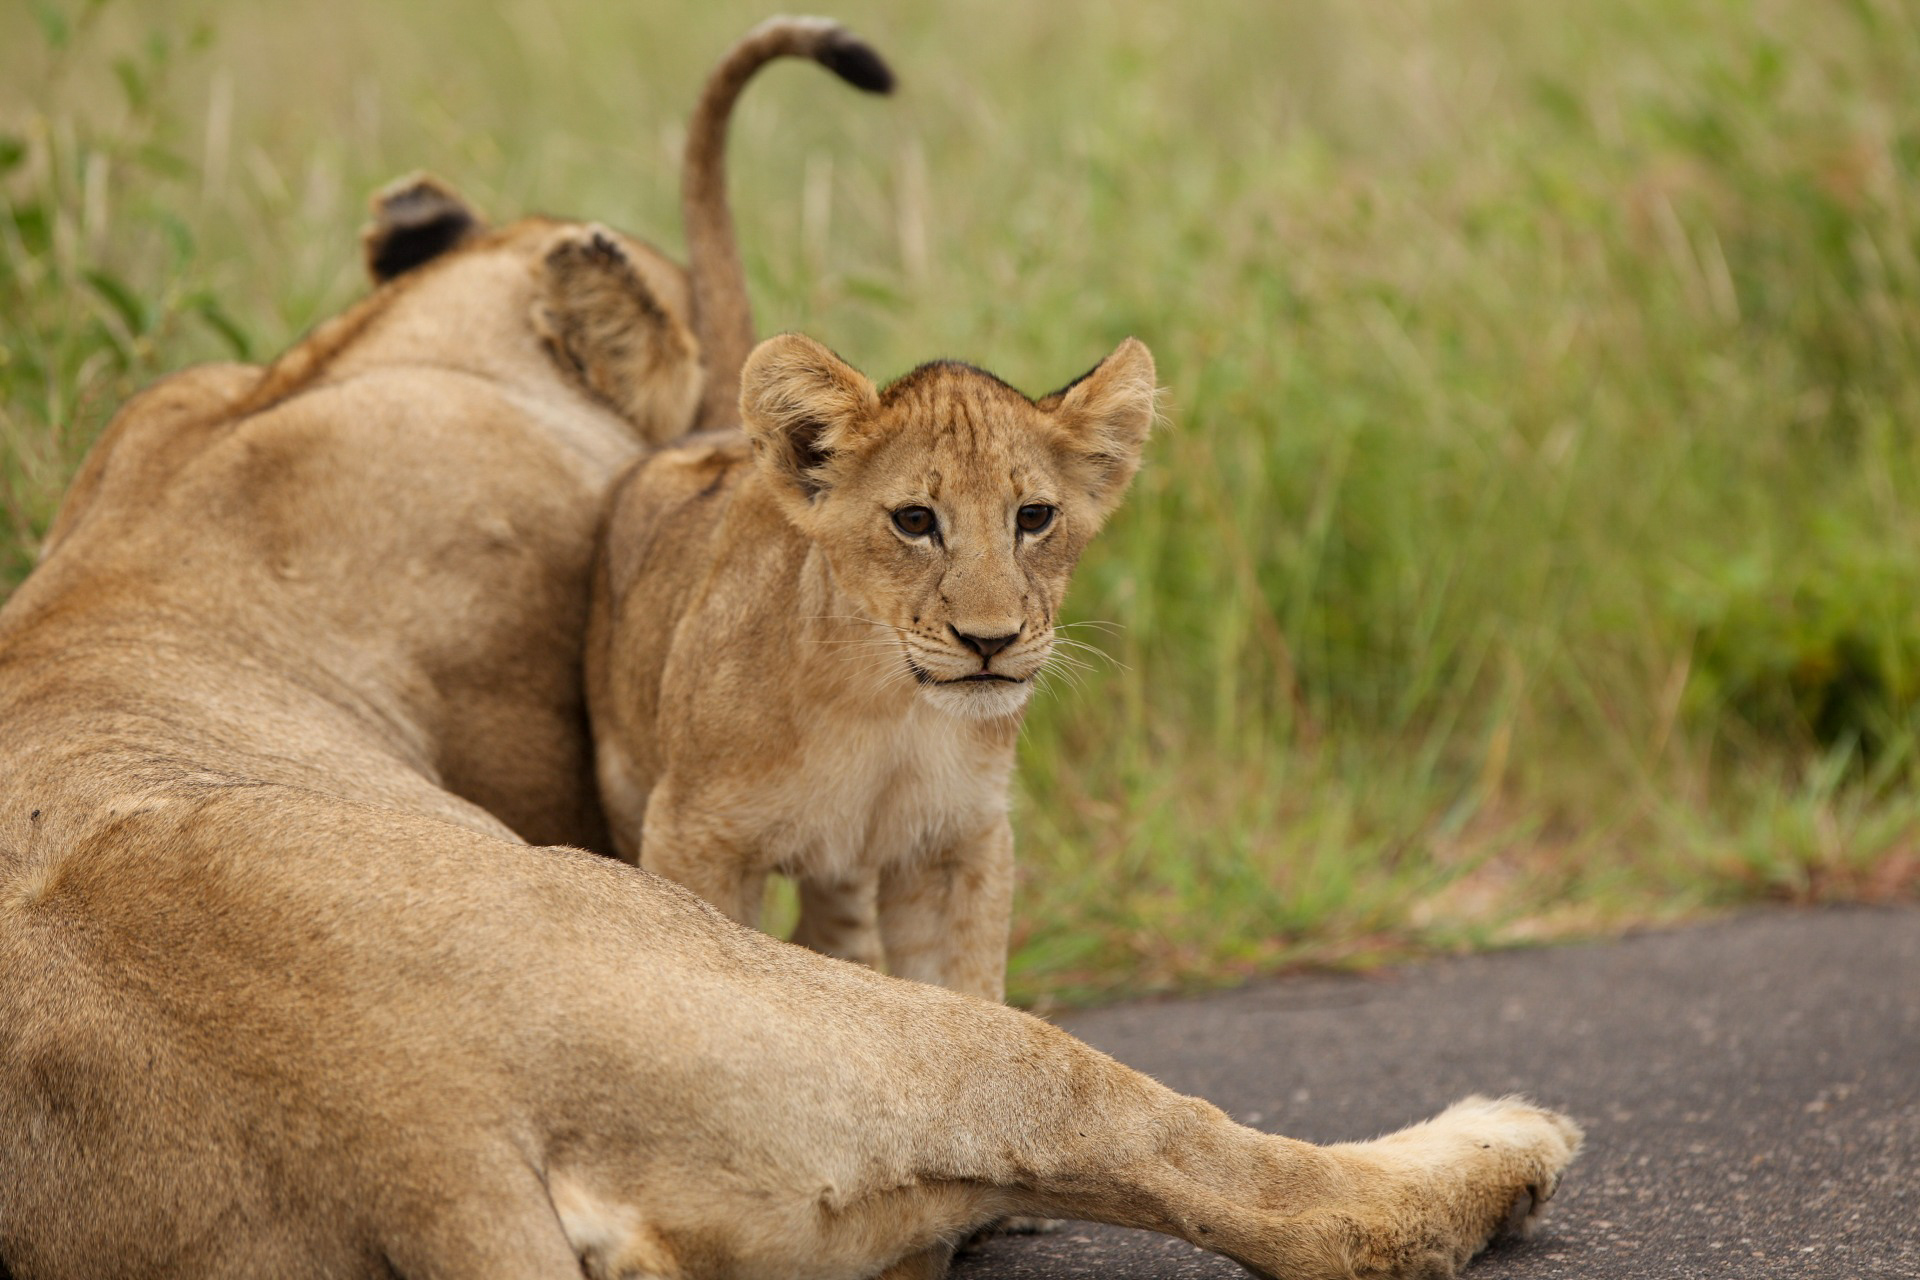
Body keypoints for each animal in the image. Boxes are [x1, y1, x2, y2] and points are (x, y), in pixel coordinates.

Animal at [586, 332, 1155, 1001]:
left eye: (1033, 517)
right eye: (915, 520)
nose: (990, 640)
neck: (886, 709)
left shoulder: (958, 842)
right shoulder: (692, 837)